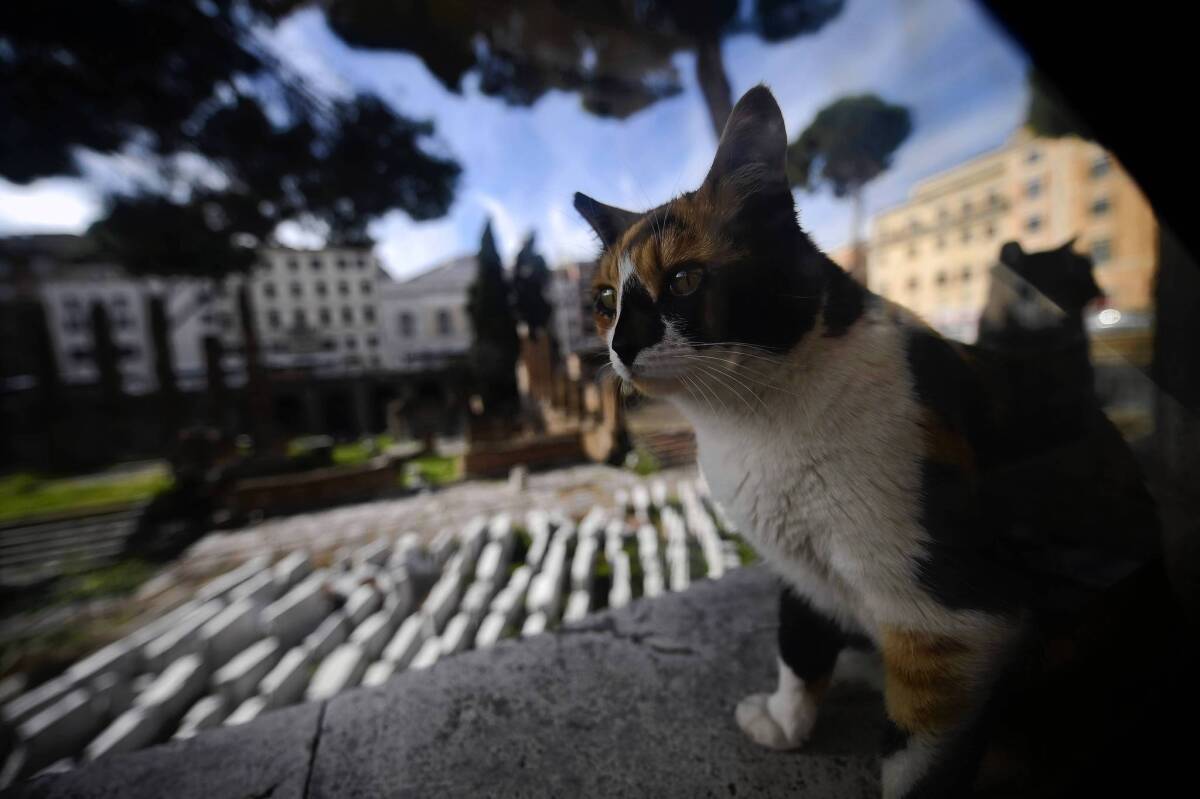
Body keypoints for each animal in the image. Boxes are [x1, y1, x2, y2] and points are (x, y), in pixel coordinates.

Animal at [576, 83, 1156, 791]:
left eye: (684, 280)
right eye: (606, 300)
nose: (620, 345)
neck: (751, 428)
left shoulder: (955, 623)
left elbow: (916, 764)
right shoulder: (798, 567)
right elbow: (797, 642)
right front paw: (787, 722)